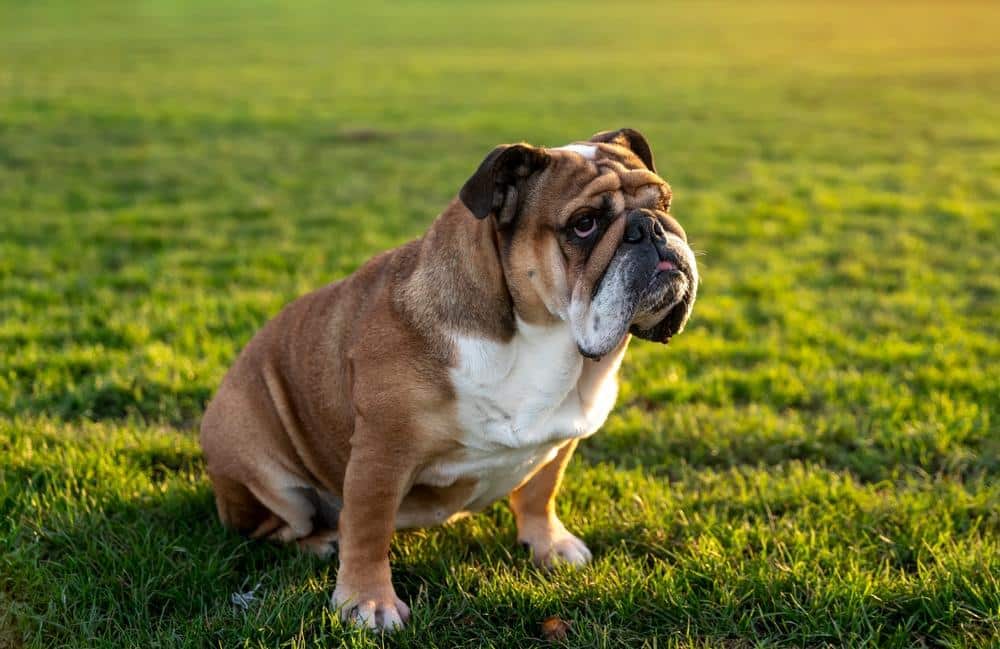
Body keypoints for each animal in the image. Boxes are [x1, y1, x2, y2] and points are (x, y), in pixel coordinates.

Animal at [199, 126, 700, 628]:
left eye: (665, 202)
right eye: (584, 224)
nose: (651, 226)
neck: (543, 340)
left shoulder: (560, 439)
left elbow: (541, 492)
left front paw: (549, 545)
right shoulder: (382, 452)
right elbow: (367, 527)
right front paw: (367, 601)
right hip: (262, 467)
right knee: (276, 526)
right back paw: (321, 540)